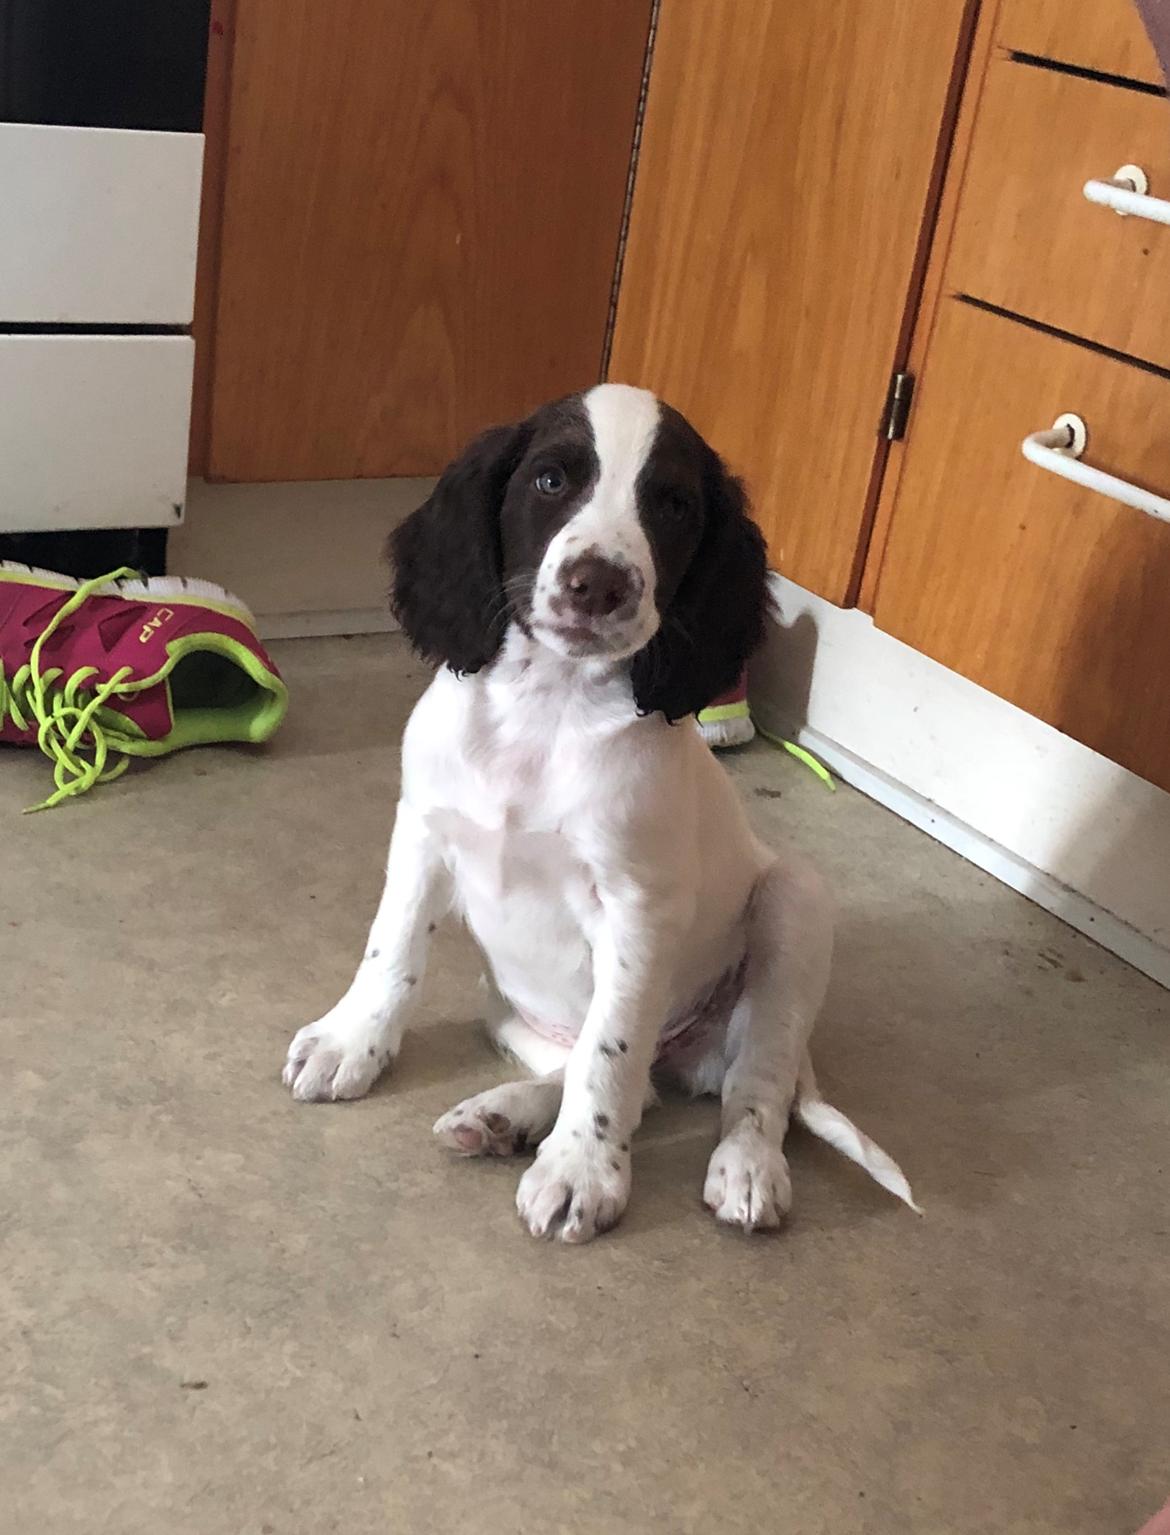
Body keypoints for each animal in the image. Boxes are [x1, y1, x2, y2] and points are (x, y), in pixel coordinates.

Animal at [282, 386, 908, 1246]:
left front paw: (584, 1169)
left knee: (749, 1085)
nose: (598, 583)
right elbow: (392, 949)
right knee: (622, 1080)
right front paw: (353, 1041)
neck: (545, 708)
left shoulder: (636, 909)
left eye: (673, 505)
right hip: (506, 1009)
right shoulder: (423, 830)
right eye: (551, 480)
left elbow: (609, 1052)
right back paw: (504, 1115)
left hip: (795, 907)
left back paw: (746, 1167)